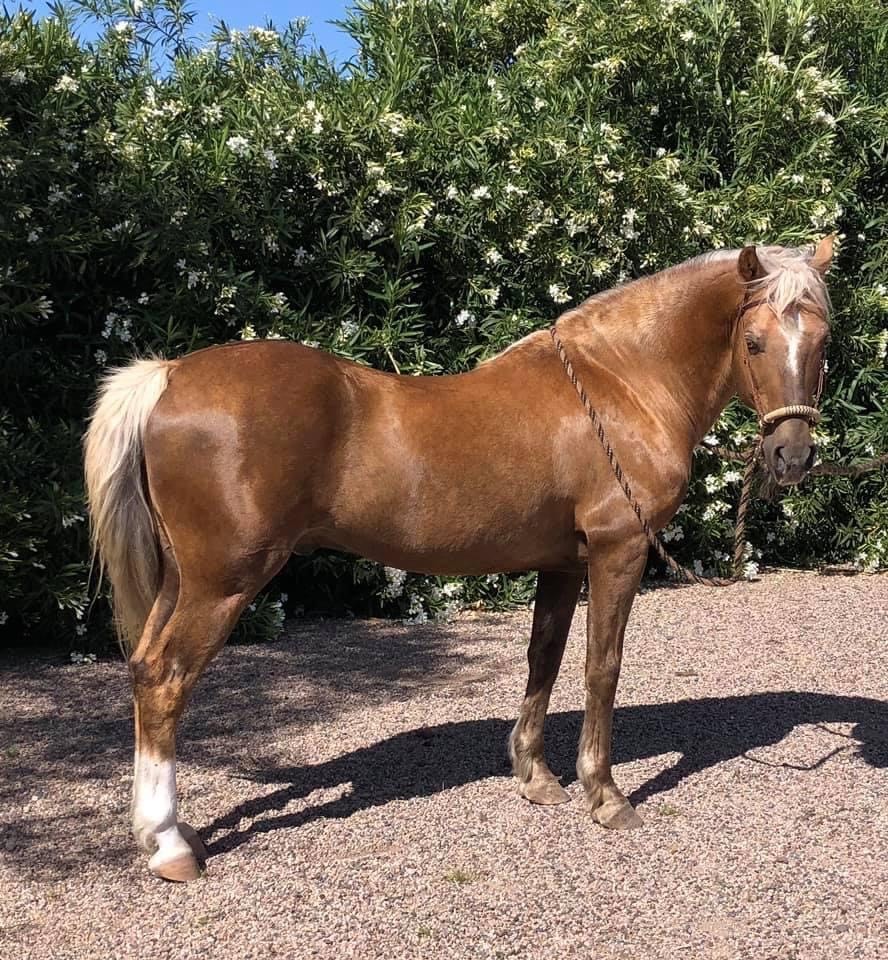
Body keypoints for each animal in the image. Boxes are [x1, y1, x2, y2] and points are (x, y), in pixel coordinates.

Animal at [84, 237, 833, 881]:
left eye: (823, 341)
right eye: (755, 341)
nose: (792, 456)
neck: (622, 382)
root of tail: (169, 376)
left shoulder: (562, 563)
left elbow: (544, 659)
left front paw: (537, 778)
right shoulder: (617, 552)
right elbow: (603, 667)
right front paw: (605, 795)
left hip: (182, 581)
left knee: (145, 668)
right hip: (222, 584)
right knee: (166, 679)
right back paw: (171, 846)